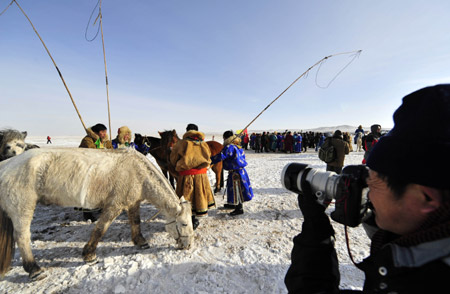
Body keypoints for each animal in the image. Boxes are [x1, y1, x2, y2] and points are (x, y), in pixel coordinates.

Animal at [0, 147, 193, 280]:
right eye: (184, 224)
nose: (188, 246)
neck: (138, 172)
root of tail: (6, 165)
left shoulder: (133, 203)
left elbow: (135, 222)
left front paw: (141, 242)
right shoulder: (114, 205)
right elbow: (101, 228)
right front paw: (89, 255)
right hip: (23, 208)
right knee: (22, 237)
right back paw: (34, 270)